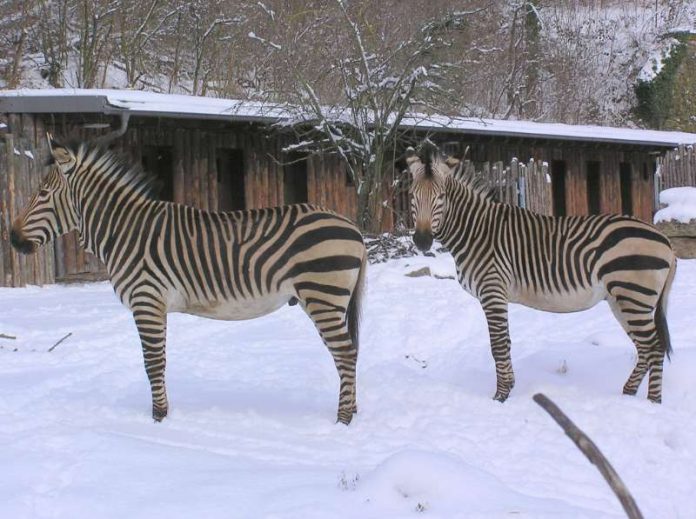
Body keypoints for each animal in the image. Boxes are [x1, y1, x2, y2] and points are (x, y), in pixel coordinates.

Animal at [10, 139, 368, 426]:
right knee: (349, 352)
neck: (124, 231)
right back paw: (352, 410)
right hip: (327, 300)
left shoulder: (146, 300)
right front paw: (162, 415)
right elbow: (159, 361)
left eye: (42, 194)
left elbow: (153, 363)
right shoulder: (154, 305)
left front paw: (158, 419)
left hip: (322, 296)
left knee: (345, 353)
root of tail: (353, 227)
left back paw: (343, 420)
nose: (12, 238)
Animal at [408, 142, 676, 406]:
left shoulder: (492, 290)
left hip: (634, 295)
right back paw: (628, 395)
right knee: (645, 347)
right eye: (411, 195)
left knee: (654, 347)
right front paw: (508, 389)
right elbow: (504, 343)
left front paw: (500, 397)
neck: (476, 231)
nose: (422, 241)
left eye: (441, 197)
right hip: (622, 299)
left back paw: (653, 402)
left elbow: (499, 345)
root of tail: (665, 240)